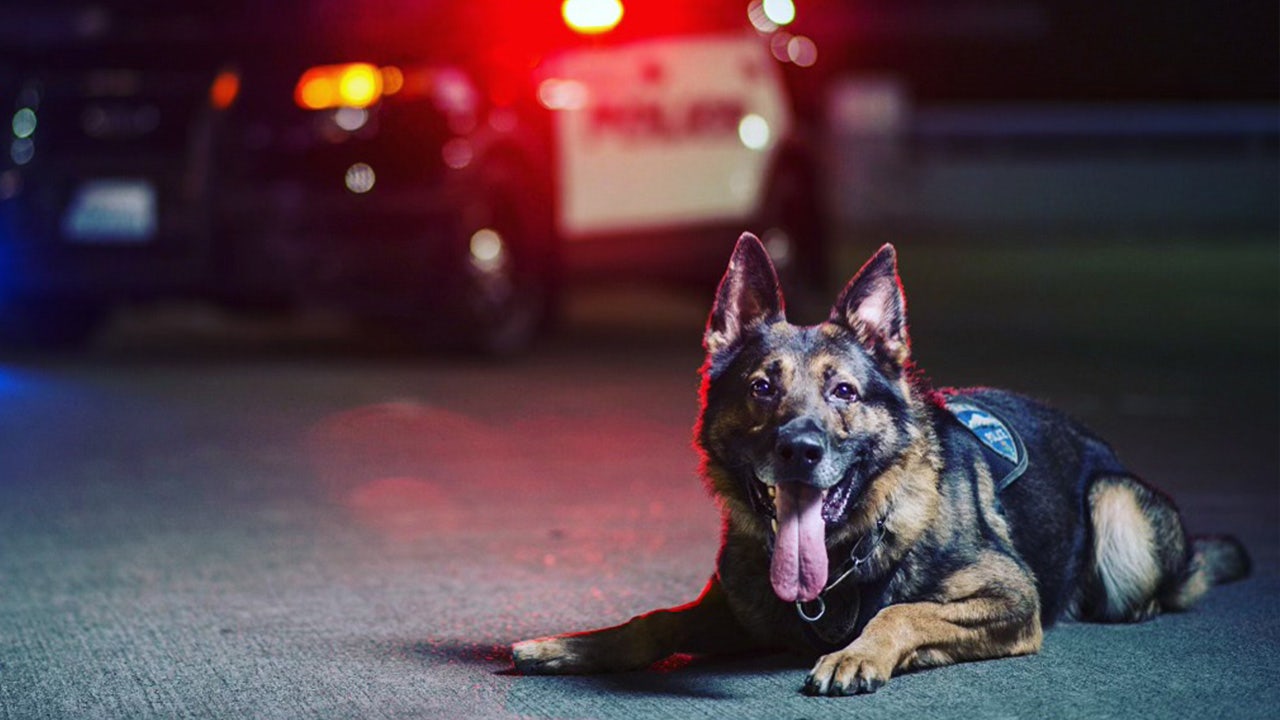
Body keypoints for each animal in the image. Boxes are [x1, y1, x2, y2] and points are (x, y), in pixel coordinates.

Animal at [512, 233, 1249, 691]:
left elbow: (902, 612)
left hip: (1115, 507)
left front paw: (858, 652)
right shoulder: (736, 610)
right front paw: (575, 644)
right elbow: (654, 619)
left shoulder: (1011, 596)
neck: (844, 555)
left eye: (844, 391)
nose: (800, 450)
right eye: (762, 387)